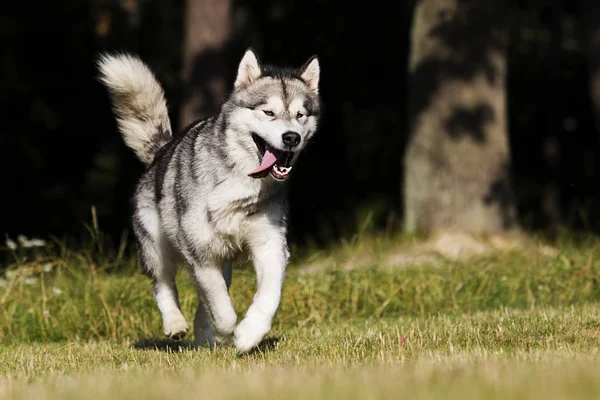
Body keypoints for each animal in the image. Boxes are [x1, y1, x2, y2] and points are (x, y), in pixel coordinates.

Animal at [98, 47, 322, 354]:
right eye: (268, 112)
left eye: (301, 115)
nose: (291, 137)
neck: (242, 181)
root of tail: (162, 151)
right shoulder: (200, 254)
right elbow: (221, 310)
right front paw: (229, 334)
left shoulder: (270, 246)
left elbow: (268, 295)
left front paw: (249, 333)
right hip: (157, 247)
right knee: (164, 284)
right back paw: (176, 323)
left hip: (221, 262)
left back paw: (205, 335)